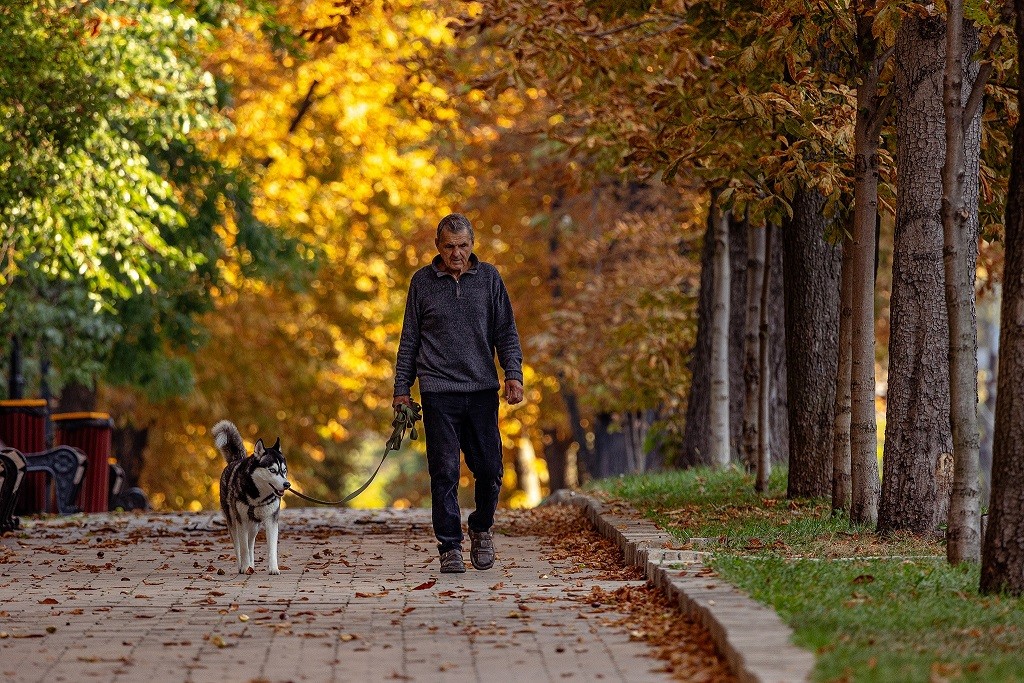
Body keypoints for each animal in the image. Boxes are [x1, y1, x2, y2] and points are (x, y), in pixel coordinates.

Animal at [214, 419, 290, 573]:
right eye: (272, 470)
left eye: (284, 470)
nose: (287, 484)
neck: (258, 497)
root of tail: (235, 460)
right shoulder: (241, 521)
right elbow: (242, 548)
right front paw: (244, 567)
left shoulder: (271, 520)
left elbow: (271, 548)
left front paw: (273, 568)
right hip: (233, 521)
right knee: (239, 544)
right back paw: (243, 565)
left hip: (254, 525)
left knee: (250, 543)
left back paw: (252, 564)